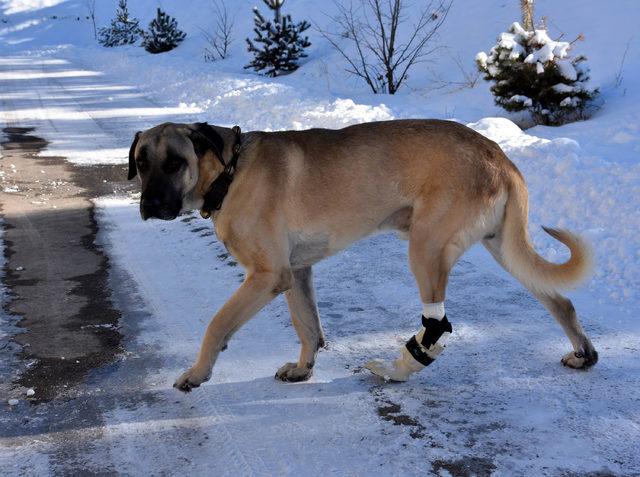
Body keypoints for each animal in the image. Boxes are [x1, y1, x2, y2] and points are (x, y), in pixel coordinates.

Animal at [127, 119, 596, 390]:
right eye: (141, 161)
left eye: (174, 162)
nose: (148, 206)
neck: (229, 172)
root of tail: (500, 156)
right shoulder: (296, 272)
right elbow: (307, 326)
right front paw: (304, 369)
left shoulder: (267, 275)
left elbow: (217, 324)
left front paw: (197, 373)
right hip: (502, 245)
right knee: (561, 301)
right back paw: (584, 353)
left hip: (426, 247)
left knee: (436, 324)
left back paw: (398, 370)